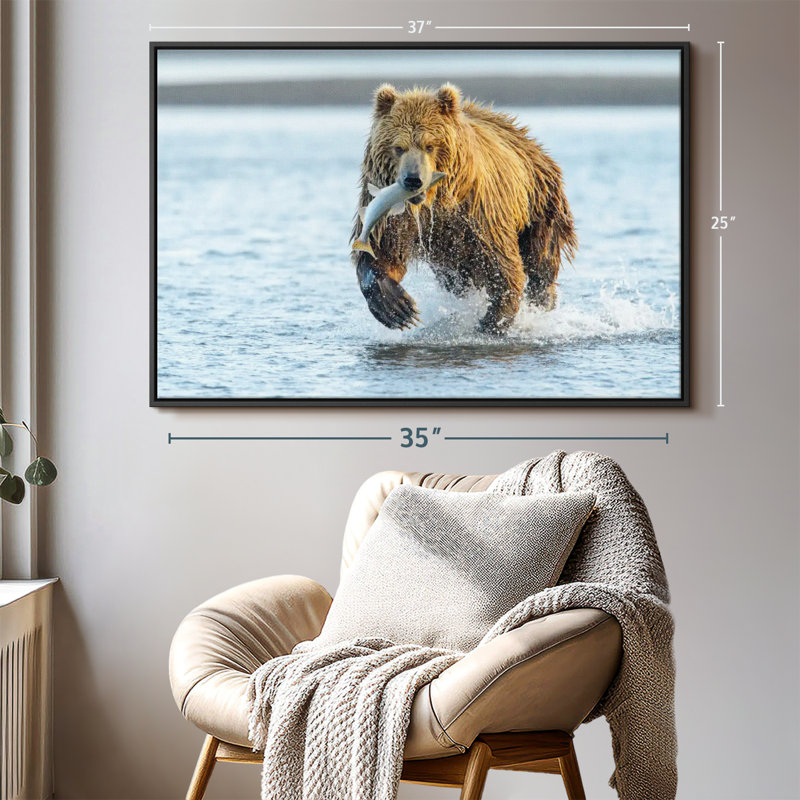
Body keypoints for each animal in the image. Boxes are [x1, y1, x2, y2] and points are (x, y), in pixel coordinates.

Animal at [351, 83, 577, 333]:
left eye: (430, 145)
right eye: (398, 147)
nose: (413, 180)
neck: (434, 202)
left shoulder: (480, 212)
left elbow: (502, 264)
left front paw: (492, 321)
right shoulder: (392, 216)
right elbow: (383, 253)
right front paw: (398, 308)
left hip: (540, 202)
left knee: (542, 258)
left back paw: (543, 299)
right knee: (456, 279)